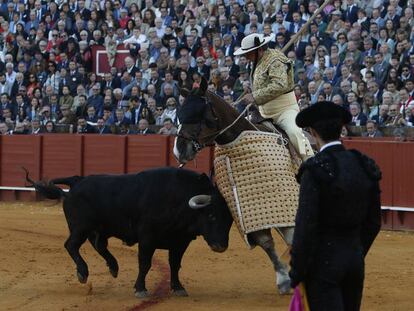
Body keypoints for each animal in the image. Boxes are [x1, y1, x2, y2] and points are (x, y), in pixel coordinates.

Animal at [25, 167, 233, 298]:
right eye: (211, 215)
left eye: (230, 221)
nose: (221, 246)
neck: (179, 199)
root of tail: (78, 180)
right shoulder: (147, 238)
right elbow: (145, 264)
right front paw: (140, 289)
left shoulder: (180, 242)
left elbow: (175, 265)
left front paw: (178, 288)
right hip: (80, 227)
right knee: (71, 245)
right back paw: (83, 273)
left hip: (100, 228)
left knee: (98, 245)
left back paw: (113, 267)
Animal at [173, 78, 296, 294]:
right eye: (179, 115)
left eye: (199, 114)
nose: (179, 150)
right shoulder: (249, 211)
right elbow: (266, 242)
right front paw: (283, 280)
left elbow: (291, 235)